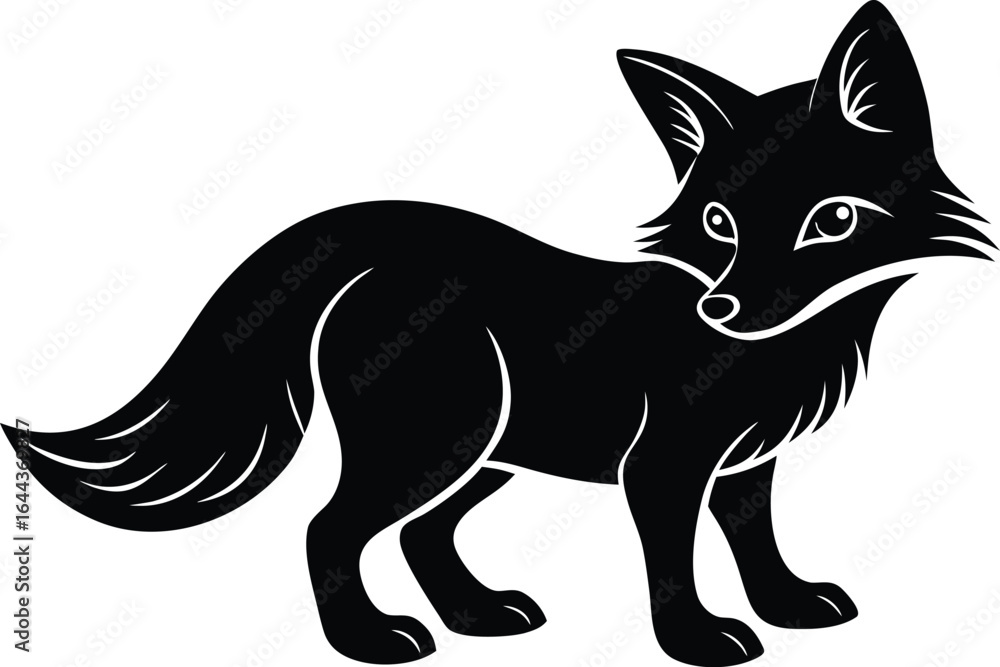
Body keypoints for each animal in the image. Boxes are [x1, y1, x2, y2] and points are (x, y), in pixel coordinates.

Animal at [5, 2, 995, 666]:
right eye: (719, 223)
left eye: (833, 220)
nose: (723, 309)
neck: (786, 348)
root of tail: (382, 243)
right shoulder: (664, 463)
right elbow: (673, 559)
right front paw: (697, 637)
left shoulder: (748, 462)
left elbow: (757, 542)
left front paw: (788, 605)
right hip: (442, 437)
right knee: (330, 528)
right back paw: (370, 640)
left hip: (490, 449)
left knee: (420, 536)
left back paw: (478, 617)